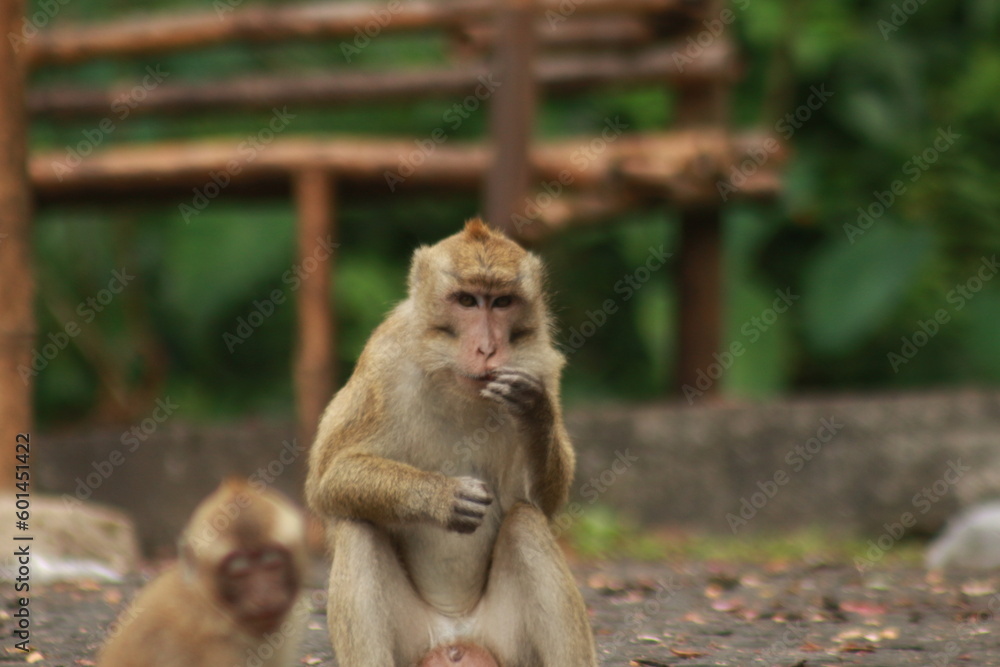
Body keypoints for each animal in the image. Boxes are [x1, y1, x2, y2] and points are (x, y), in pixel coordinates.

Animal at [306, 219, 597, 667]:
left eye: (502, 302)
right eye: (466, 300)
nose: (488, 348)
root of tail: (455, 635)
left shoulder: (541, 364)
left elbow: (541, 503)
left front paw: (535, 411)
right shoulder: (384, 361)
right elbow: (328, 478)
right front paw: (440, 496)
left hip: (507, 645)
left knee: (526, 523)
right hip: (413, 641)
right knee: (358, 529)